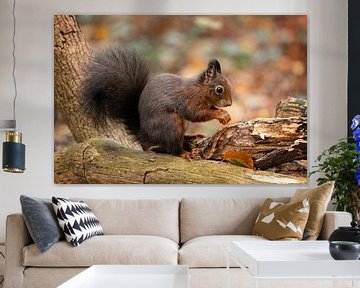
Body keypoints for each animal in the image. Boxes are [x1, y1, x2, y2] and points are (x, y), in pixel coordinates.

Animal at [82, 48, 232, 159]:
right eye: (219, 89)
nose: (230, 104)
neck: (200, 89)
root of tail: (144, 135)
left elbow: (210, 108)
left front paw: (225, 114)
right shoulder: (190, 100)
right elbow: (197, 114)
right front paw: (220, 115)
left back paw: (191, 137)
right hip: (171, 123)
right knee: (172, 148)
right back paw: (184, 153)